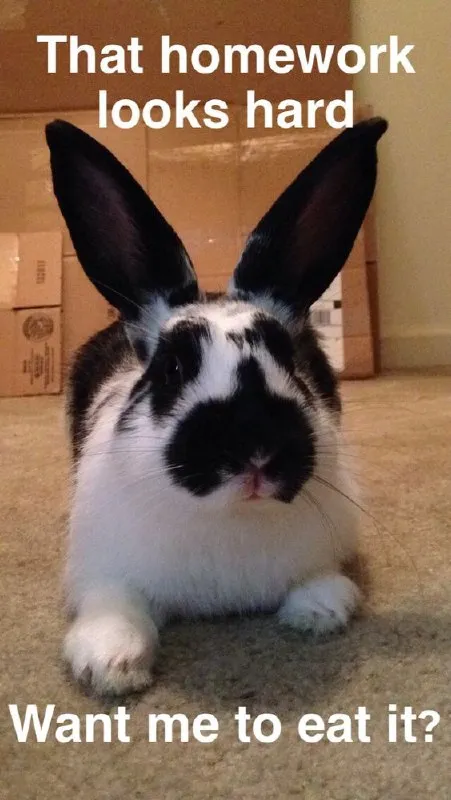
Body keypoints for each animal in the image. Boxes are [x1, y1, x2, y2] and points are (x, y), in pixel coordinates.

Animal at [46, 116, 387, 696]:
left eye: (287, 357)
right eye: (172, 368)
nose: (256, 449)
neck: (232, 515)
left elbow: (319, 581)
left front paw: (319, 610)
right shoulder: (104, 571)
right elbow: (116, 607)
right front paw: (112, 663)